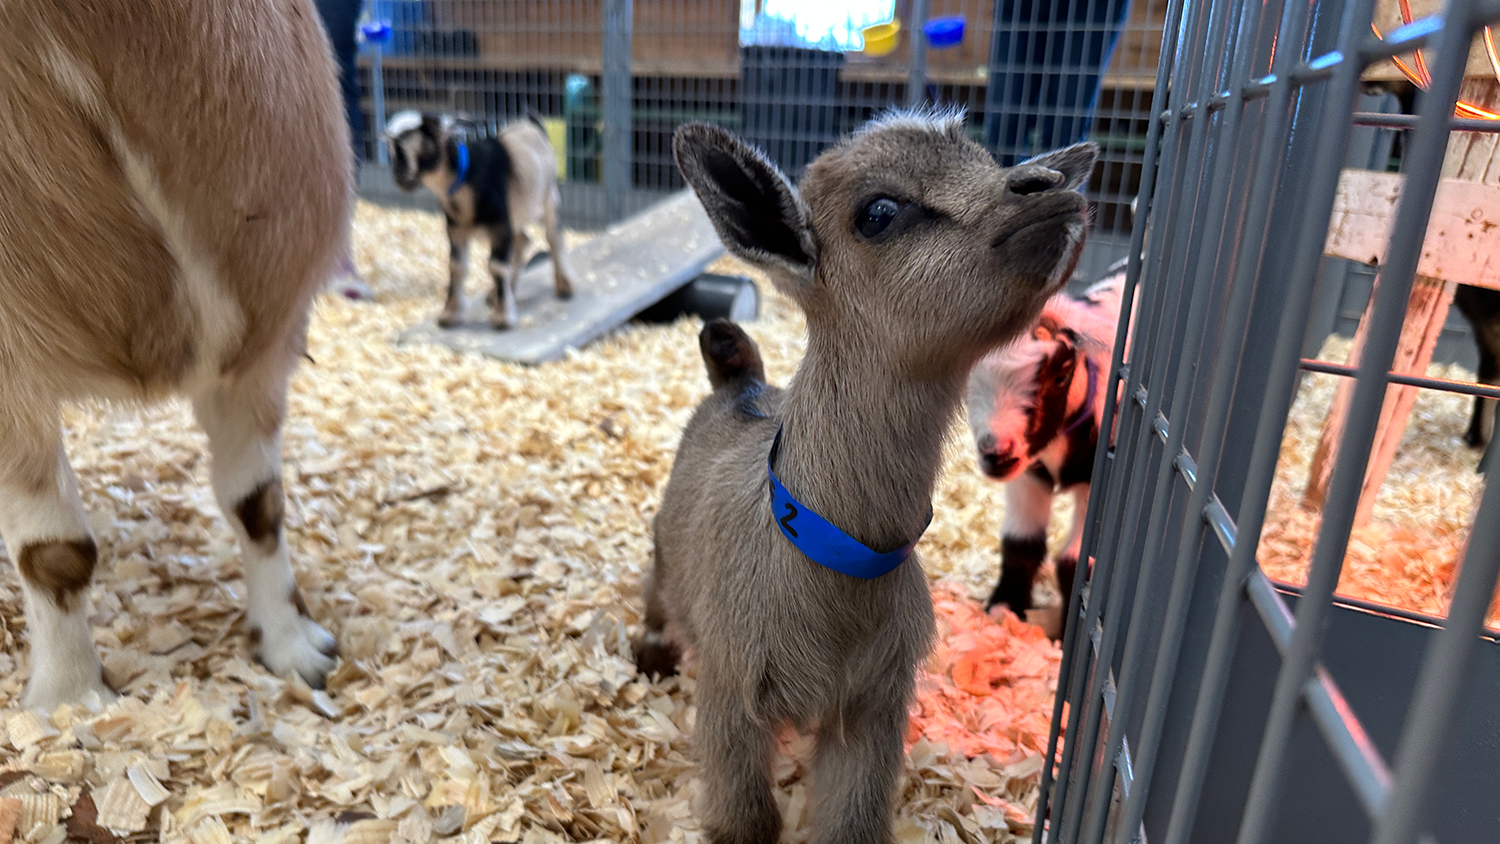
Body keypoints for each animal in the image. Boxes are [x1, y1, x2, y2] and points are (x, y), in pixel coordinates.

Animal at [387, 111, 573, 334]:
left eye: (418, 146)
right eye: (393, 150)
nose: (399, 177)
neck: (465, 176)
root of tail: (531, 122)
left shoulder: (499, 225)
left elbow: (497, 267)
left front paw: (503, 317)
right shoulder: (456, 229)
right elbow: (456, 267)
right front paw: (449, 314)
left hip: (548, 197)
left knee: (554, 237)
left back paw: (564, 286)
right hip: (515, 214)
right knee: (522, 240)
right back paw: (499, 293)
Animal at [966, 266, 1122, 638]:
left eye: (1060, 377)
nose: (996, 453)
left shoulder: (1097, 480)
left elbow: (1077, 563)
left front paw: (1067, 637)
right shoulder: (1029, 473)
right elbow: (1020, 543)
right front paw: (1004, 609)